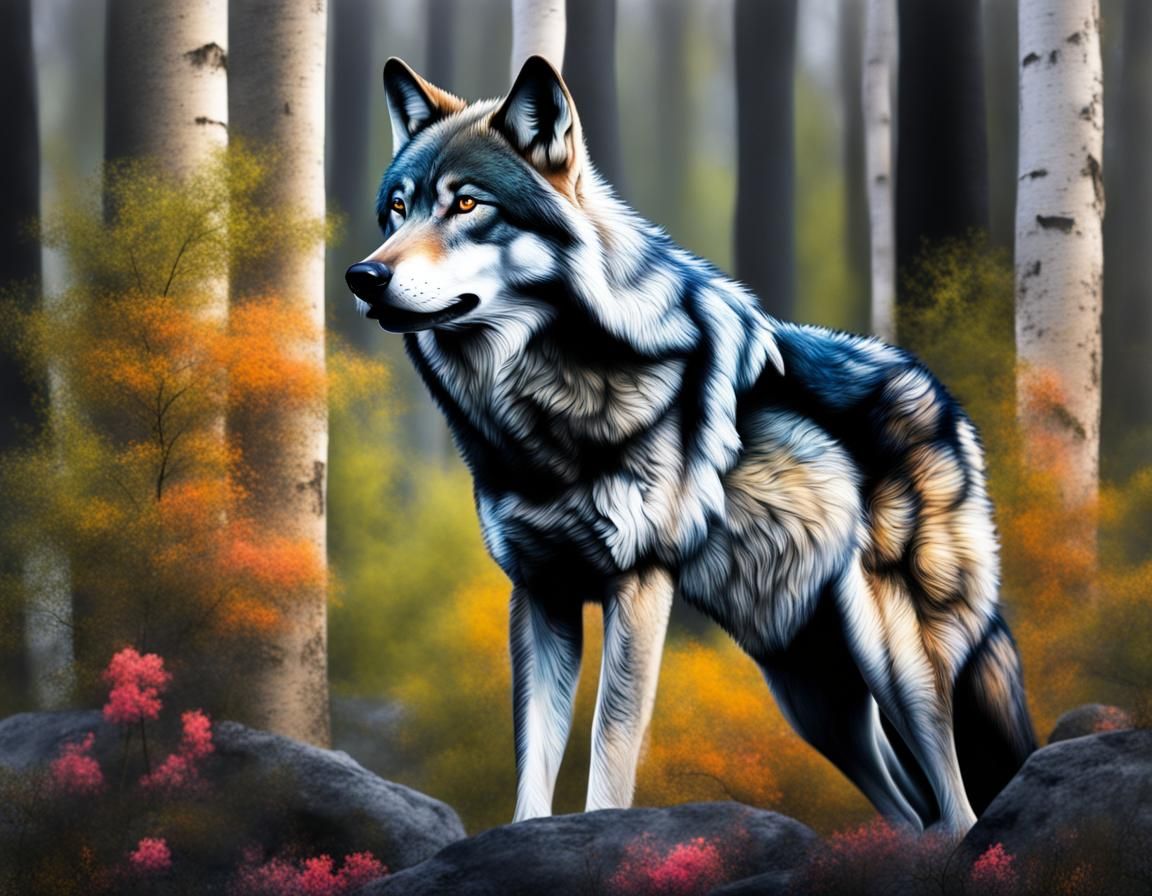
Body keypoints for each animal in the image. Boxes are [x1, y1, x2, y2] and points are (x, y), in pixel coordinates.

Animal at [345, 56, 1037, 833]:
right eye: (397, 209)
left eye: (467, 205)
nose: (363, 276)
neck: (538, 409)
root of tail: (947, 401)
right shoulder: (539, 592)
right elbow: (534, 760)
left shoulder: (638, 585)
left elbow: (610, 750)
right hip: (814, 698)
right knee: (916, 815)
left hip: (896, 661)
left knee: (958, 808)